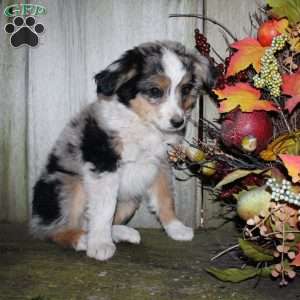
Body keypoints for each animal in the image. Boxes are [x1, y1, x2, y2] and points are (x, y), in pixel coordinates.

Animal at [30, 40, 216, 260]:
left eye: (186, 89)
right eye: (155, 91)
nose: (178, 122)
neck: (143, 124)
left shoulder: (160, 164)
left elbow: (165, 199)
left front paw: (175, 228)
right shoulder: (104, 164)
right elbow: (104, 209)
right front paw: (100, 244)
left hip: (129, 200)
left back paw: (119, 233)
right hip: (69, 186)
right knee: (56, 230)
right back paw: (83, 239)